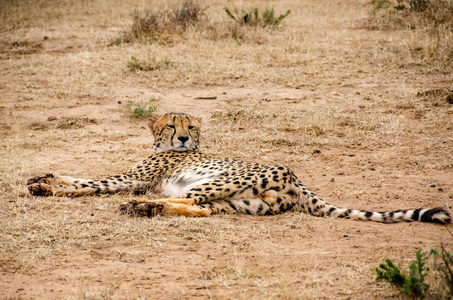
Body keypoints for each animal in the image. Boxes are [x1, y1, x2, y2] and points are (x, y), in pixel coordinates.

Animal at [27, 111, 448, 224]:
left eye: (190, 127)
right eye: (172, 125)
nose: (184, 139)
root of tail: (295, 176)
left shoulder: (133, 178)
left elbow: (90, 182)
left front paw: (47, 185)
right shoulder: (135, 177)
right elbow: (82, 177)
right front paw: (41, 178)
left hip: (216, 182)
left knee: (190, 202)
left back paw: (142, 207)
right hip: (242, 201)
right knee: (200, 210)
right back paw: (146, 208)